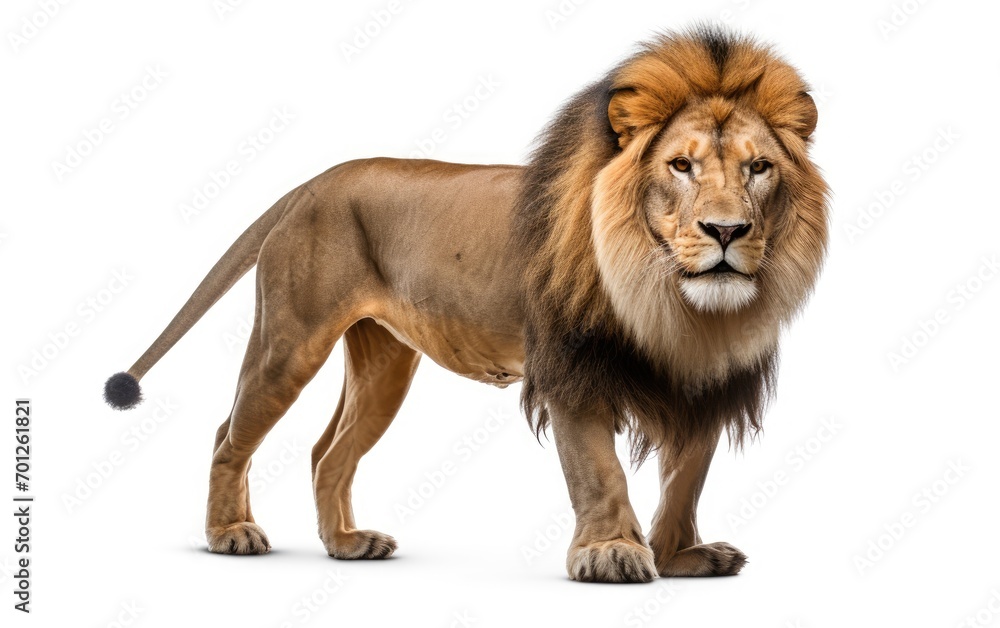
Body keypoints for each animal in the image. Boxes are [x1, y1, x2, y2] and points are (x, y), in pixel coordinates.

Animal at [103, 26, 828, 583]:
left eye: (758, 168)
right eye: (681, 165)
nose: (727, 231)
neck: (677, 307)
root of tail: (313, 181)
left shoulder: (709, 380)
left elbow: (686, 479)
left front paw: (680, 554)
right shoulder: (570, 371)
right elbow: (599, 471)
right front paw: (611, 553)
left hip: (384, 363)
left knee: (325, 453)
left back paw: (347, 545)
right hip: (291, 341)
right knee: (229, 434)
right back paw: (231, 533)